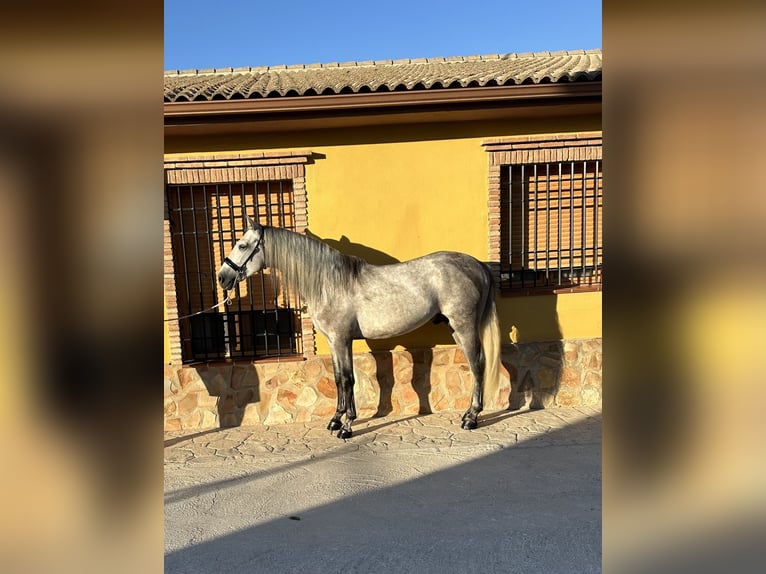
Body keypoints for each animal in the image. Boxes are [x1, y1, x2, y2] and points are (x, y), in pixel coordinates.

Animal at [219, 217, 500, 440]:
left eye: (242, 245)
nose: (223, 277)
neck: (329, 283)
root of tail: (478, 265)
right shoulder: (334, 342)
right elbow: (337, 378)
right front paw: (335, 419)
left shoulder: (342, 339)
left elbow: (348, 379)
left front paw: (347, 426)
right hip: (456, 328)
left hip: (464, 326)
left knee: (477, 364)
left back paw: (471, 418)